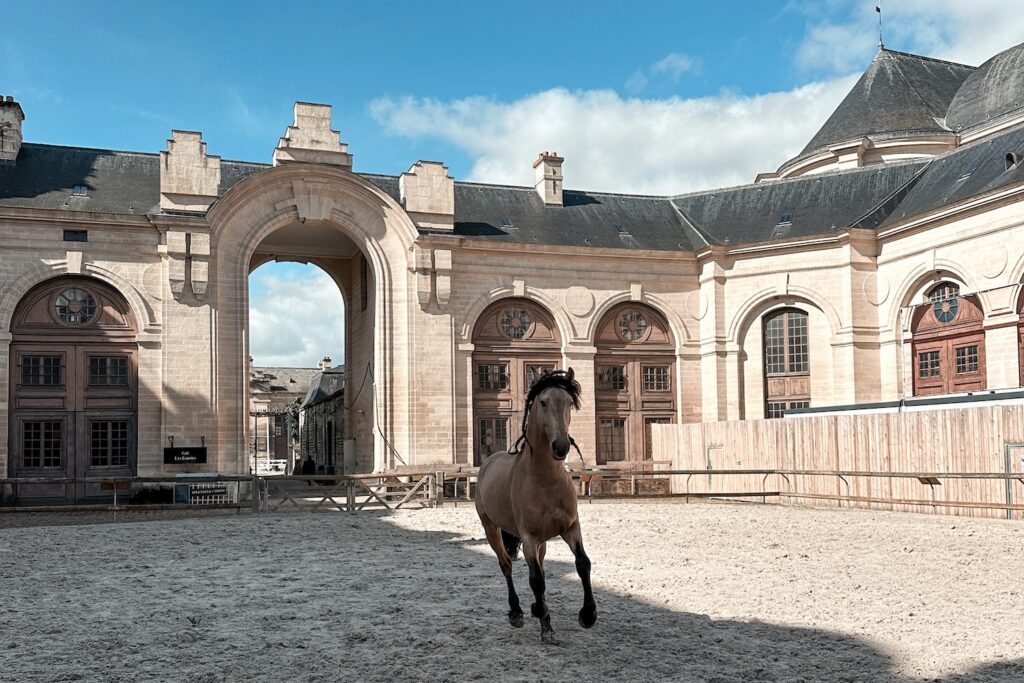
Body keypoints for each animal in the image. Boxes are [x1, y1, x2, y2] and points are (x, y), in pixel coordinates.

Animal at [475, 368, 598, 643]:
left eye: (569, 402)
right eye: (543, 402)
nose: (561, 446)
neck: (546, 481)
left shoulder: (571, 528)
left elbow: (582, 564)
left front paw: (587, 615)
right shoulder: (528, 537)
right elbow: (536, 579)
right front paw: (540, 615)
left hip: (543, 541)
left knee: (539, 566)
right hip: (492, 529)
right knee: (506, 565)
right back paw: (517, 612)